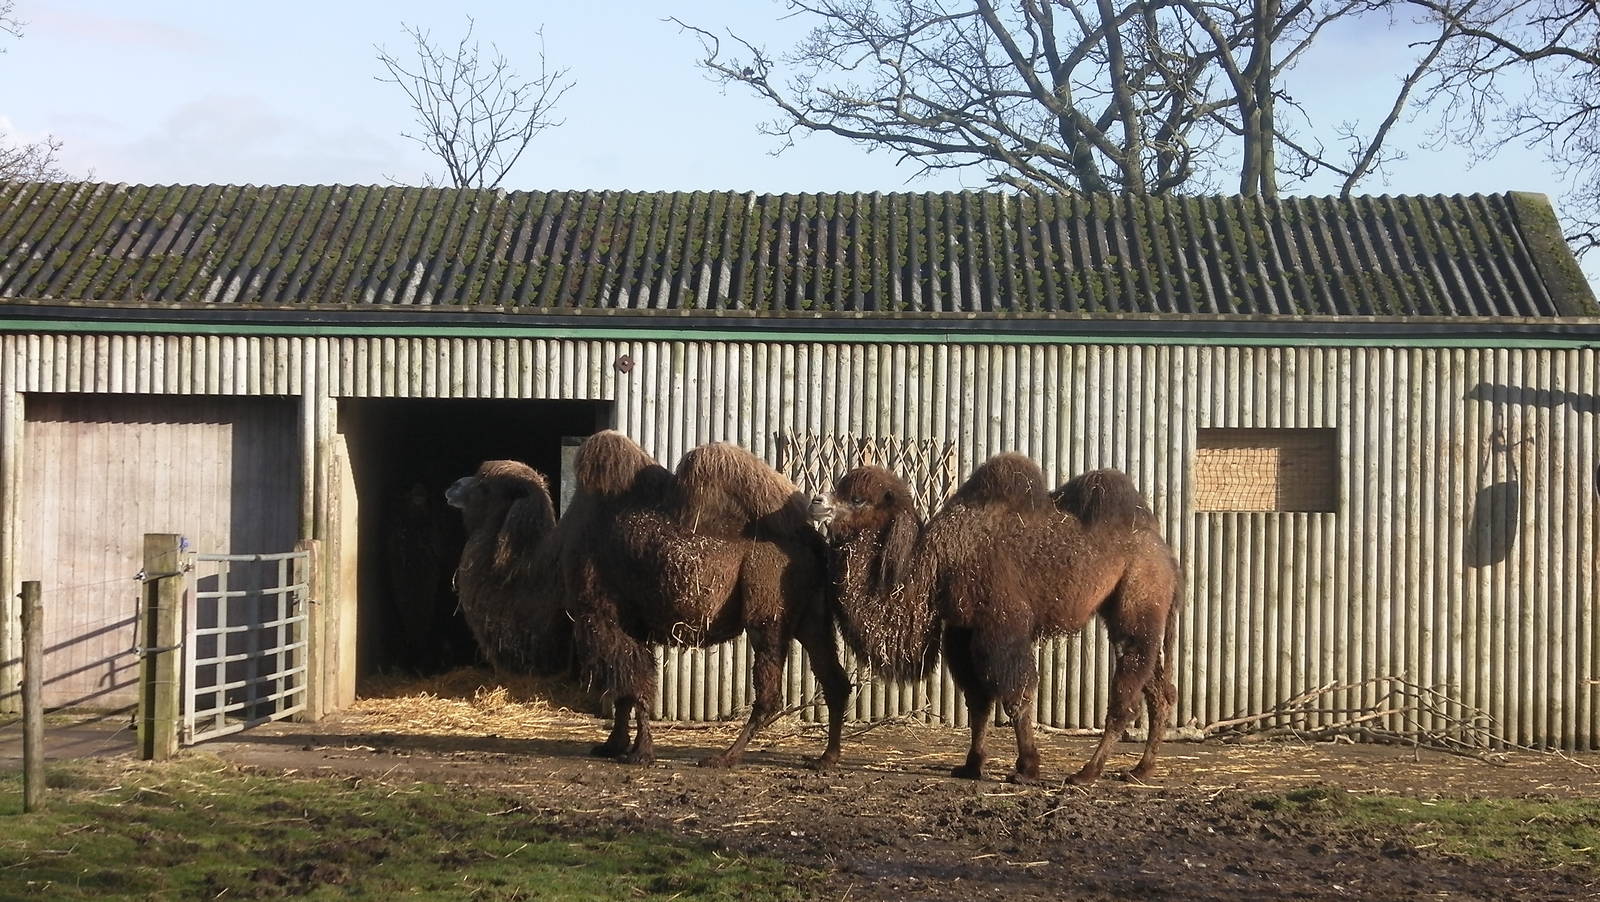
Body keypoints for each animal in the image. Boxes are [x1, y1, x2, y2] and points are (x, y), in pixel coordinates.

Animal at [554, 431, 850, 769]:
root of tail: (813, 542)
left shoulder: (604, 616)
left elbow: (632, 685)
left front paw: (640, 753)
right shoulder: (633, 624)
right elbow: (628, 690)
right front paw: (614, 746)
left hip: (767, 617)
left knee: (769, 692)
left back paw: (724, 757)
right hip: (811, 618)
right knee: (834, 680)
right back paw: (826, 757)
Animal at [811, 453, 1180, 785]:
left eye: (857, 499)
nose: (817, 501)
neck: (936, 563)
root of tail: (1163, 549)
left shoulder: (1001, 625)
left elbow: (1017, 695)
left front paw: (1027, 768)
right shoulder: (962, 631)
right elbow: (977, 701)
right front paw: (971, 765)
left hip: (1138, 598)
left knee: (1127, 691)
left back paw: (1087, 773)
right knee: (1158, 689)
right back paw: (1140, 770)